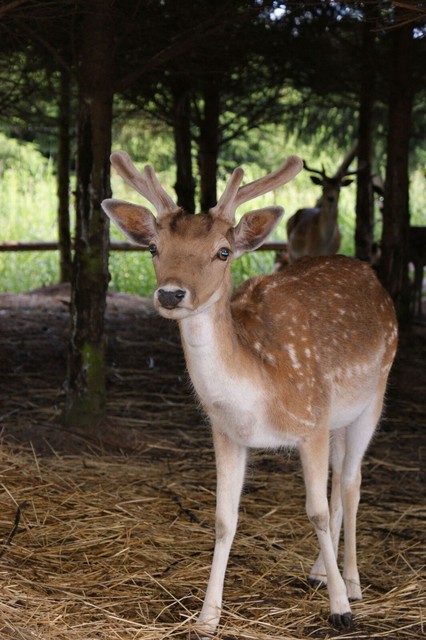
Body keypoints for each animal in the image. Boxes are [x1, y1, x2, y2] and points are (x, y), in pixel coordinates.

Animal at [102, 152, 400, 636]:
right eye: (153, 248)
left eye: (223, 252)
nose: (171, 293)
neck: (257, 396)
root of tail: (371, 275)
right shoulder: (226, 433)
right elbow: (224, 519)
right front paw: (206, 618)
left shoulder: (311, 420)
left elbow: (316, 510)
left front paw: (340, 609)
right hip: (338, 417)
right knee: (341, 481)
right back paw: (320, 571)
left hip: (373, 395)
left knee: (351, 483)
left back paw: (351, 583)